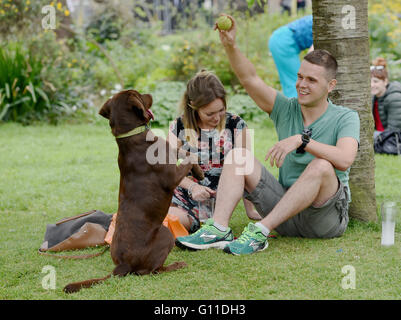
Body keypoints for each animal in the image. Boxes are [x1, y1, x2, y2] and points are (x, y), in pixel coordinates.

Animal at [64, 89, 205, 292]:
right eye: (139, 94)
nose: (150, 93)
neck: (131, 136)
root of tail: (123, 265)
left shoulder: (169, 149)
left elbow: (184, 152)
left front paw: (199, 172)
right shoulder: (171, 177)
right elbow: (188, 157)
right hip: (165, 234)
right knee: (152, 271)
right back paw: (176, 265)